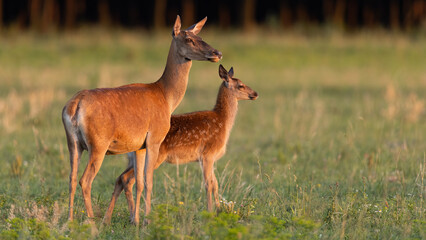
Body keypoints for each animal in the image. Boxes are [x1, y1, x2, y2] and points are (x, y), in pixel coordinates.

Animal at [63, 16, 223, 225]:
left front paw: (136, 220)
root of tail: (75, 106)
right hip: (98, 144)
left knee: (72, 178)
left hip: (73, 143)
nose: (217, 53)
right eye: (189, 39)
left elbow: (138, 182)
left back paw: (70, 220)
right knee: (86, 180)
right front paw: (148, 219)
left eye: (200, 36)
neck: (166, 97)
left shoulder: (139, 146)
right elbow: (148, 180)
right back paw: (93, 221)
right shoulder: (155, 138)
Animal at [102, 64, 260, 224]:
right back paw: (133, 218)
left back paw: (112, 219)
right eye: (240, 85)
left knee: (121, 178)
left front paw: (219, 211)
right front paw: (210, 213)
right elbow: (208, 184)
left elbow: (215, 183)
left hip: (132, 158)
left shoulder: (208, 158)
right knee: (128, 179)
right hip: (156, 156)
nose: (255, 93)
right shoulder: (208, 154)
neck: (223, 122)